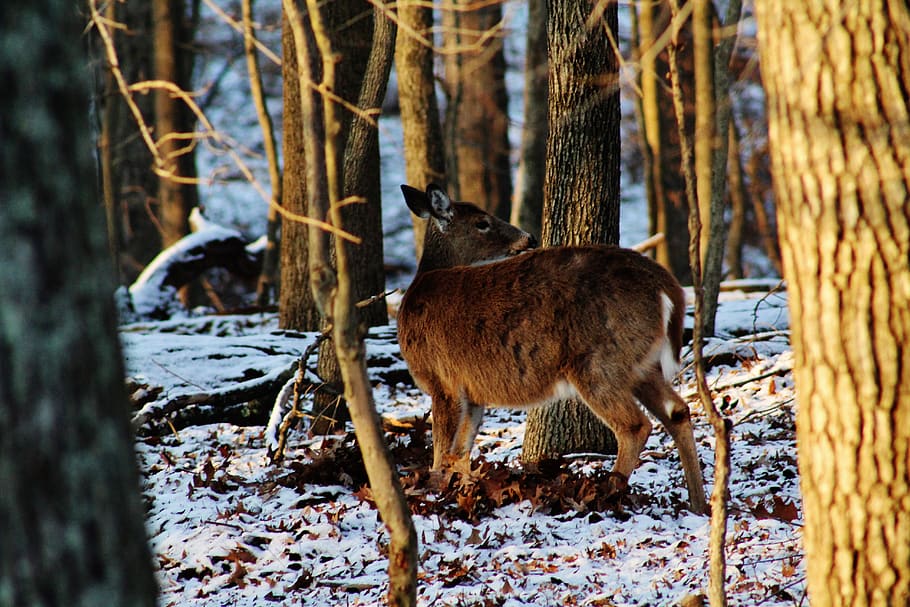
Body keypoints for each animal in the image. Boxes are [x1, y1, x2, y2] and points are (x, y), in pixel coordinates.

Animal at [396, 183, 708, 514]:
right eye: (482, 222)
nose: (529, 238)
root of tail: (667, 286)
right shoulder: (470, 390)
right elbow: (461, 449)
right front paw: (461, 489)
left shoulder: (441, 379)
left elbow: (442, 449)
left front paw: (435, 492)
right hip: (639, 362)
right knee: (677, 411)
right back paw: (699, 502)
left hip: (597, 361)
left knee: (635, 425)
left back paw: (609, 493)